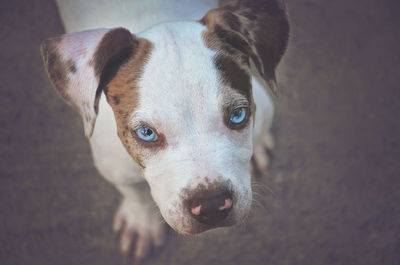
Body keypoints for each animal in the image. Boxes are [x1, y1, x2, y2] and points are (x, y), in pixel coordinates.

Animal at [41, 0, 288, 260]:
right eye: (146, 133)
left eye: (238, 115)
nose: (211, 205)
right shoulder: (113, 166)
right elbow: (133, 191)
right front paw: (141, 224)